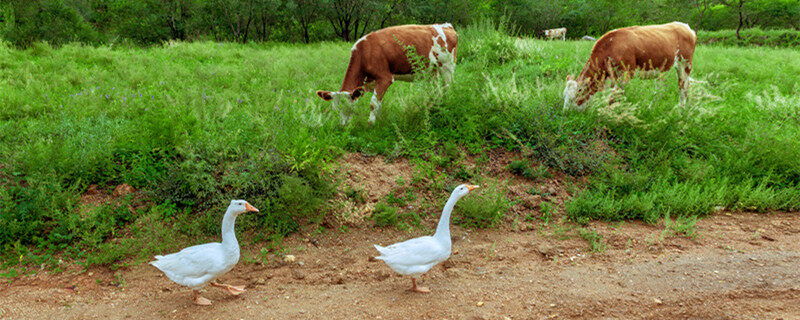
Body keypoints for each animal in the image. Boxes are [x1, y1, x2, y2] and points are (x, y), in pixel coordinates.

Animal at [318, 22, 460, 124]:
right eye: (335, 110)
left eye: (348, 107)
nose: (342, 126)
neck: (365, 52)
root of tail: (445, 25)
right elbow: (378, 104)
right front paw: (379, 122)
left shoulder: (384, 78)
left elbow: (373, 104)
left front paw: (370, 124)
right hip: (432, 71)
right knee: (436, 90)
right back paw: (433, 106)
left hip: (447, 66)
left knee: (448, 87)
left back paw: (446, 104)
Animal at [560, 22, 696, 110]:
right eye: (564, 96)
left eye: (573, 98)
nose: (566, 113)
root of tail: (684, 26)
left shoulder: (626, 74)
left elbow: (612, 98)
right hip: (663, 69)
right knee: (660, 89)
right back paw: (651, 108)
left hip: (685, 65)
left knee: (683, 88)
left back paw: (681, 111)